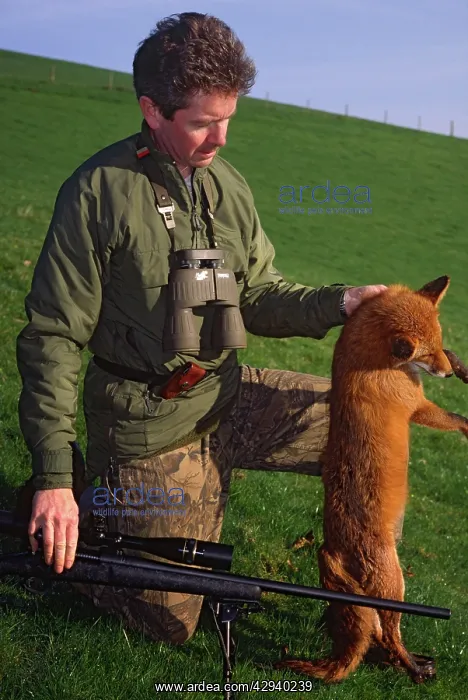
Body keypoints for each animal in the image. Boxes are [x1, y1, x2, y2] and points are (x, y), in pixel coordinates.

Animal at [275, 275, 468, 684]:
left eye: (438, 343)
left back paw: (404, 661)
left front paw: (462, 365)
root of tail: (328, 549)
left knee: (378, 634)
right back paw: (414, 669)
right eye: (426, 354)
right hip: (394, 585)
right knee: (390, 633)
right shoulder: (418, 407)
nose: (446, 372)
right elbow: (457, 418)